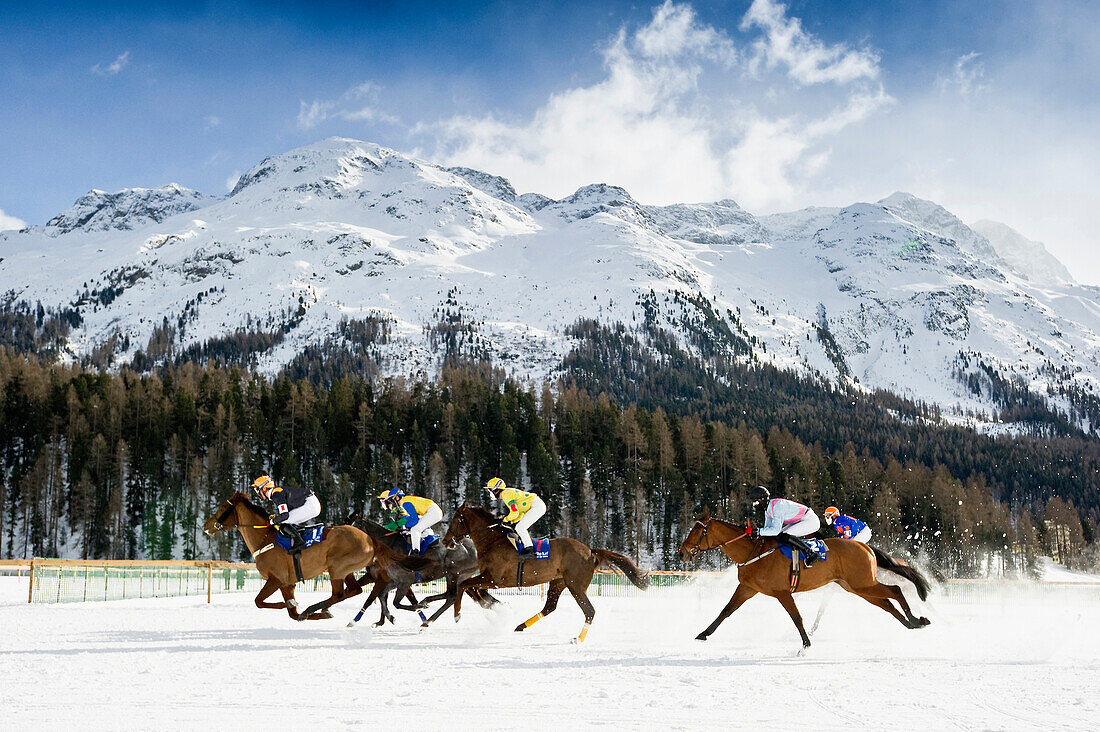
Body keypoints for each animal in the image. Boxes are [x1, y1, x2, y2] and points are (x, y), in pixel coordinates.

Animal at [204, 493, 426, 620]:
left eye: (222, 508)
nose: (206, 526)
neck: (265, 538)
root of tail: (371, 539)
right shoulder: (288, 584)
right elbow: (292, 615)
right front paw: (299, 611)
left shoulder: (276, 579)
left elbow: (259, 601)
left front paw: (295, 606)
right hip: (346, 570)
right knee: (353, 590)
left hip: (336, 567)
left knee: (340, 593)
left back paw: (316, 607)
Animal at [345, 512, 501, 629]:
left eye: (352, 525)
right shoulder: (393, 580)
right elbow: (382, 596)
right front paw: (386, 619)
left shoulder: (404, 581)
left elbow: (393, 601)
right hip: (461, 576)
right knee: (460, 596)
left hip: (453, 573)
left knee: (452, 596)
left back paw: (427, 616)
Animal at [440, 506, 646, 642]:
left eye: (456, 520)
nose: (445, 540)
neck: (492, 541)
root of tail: (590, 551)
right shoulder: (487, 578)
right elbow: (472, 588)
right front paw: (497, 609)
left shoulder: (494, 579)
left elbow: (464, 585)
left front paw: (457, 614)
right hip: (558, 583)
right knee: (549, 607)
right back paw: (520, 626)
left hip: (576, 586)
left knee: (589, 611)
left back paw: (578, 639)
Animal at [677, 510, 928, 647]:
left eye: (697, 531)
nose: (682, 553)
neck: (753, 551)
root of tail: (864, 546)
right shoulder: (748, 587)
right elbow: (726, 610)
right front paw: (703, 634)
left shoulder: (782, 592)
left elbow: (796, 617)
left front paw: (805, 644)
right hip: (857, 587)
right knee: (887, 604)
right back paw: (912, 623)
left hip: (863, 583)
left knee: (895, 590)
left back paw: (916, 619)